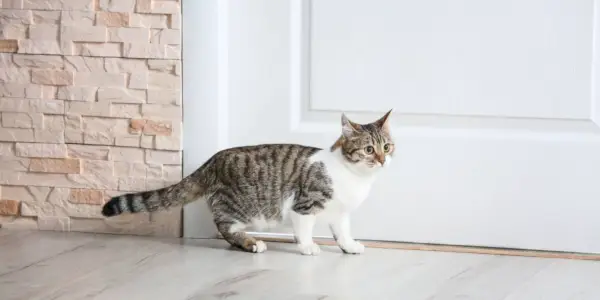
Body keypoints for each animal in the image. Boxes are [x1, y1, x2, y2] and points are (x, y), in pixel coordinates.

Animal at [102, 110, 394, 255]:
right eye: (369, 149)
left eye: (387, 147)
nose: (382, 160)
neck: (353, 177)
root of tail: (212, 160)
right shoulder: (304, 205)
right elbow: (303, 229)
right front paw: (308, 247)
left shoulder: (340, 213)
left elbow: (342, 232)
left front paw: (349, 246)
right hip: (240, 205)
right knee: (224, 225)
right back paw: (251, 243)